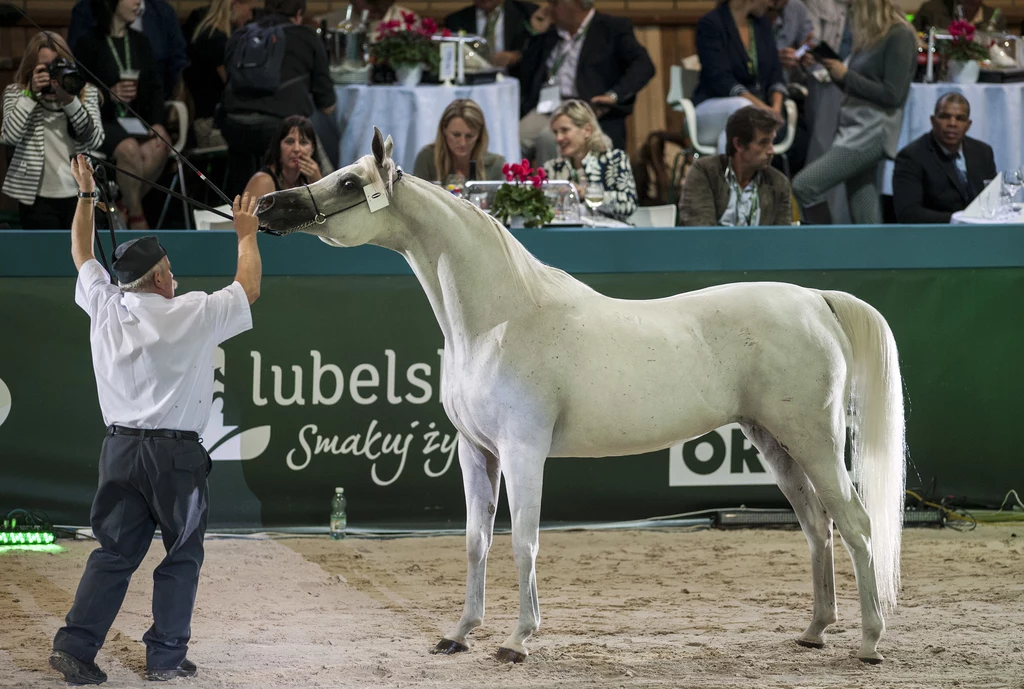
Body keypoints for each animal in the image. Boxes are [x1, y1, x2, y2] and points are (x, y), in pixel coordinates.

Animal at [256, 127, 905, 659]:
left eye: (349, 181)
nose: (267, 204)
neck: (501, 320)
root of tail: (814, 299)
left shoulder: (523, 452)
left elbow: (524, 542)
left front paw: (518, 640)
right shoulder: (476, 451)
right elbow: (476, 543)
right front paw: (460, 634)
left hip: (814, 440)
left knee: (855, 523)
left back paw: (871, 642)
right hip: (774, 442)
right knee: (817, 525)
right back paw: (815, 630)